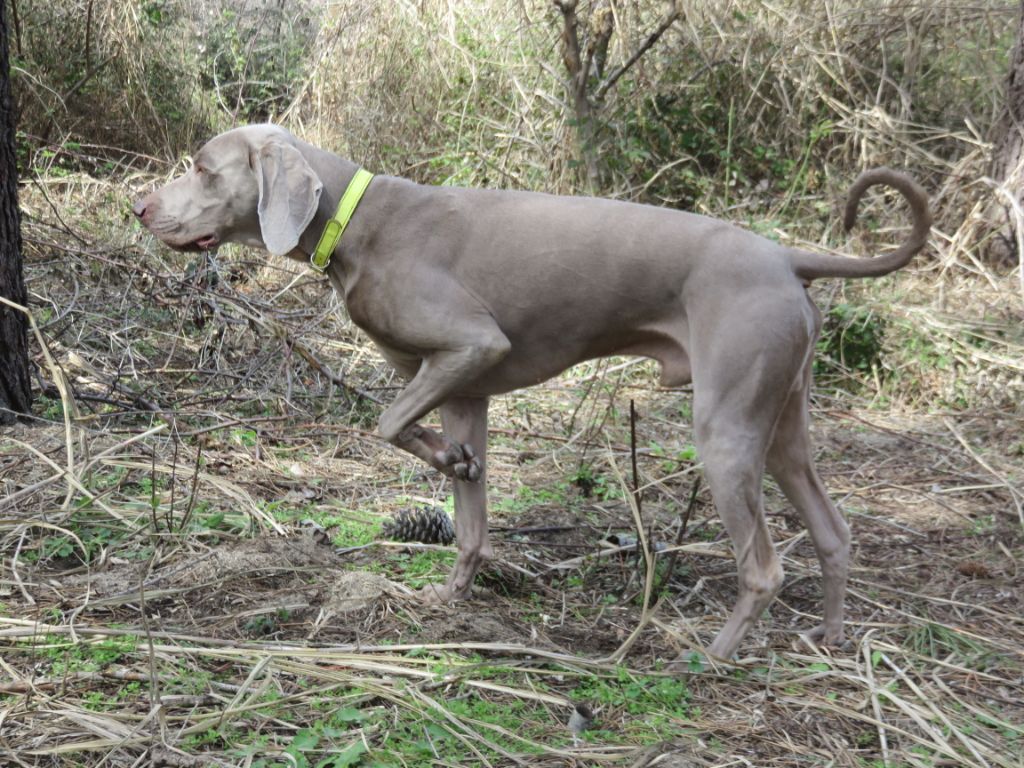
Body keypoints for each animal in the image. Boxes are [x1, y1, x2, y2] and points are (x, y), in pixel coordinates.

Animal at [132, 126, 933, 663]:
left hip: (727, 429)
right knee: (833, 531)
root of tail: (785, 257)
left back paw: (709, 656)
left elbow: (385, 421)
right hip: (783, 423)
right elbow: (469, 521)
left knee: (764, 567)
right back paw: (833, 637)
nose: (139, 208)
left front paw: (445, 464)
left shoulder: (474, 344)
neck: (358, 220)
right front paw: (450, 589)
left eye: (202, 169)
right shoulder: (465, 387)